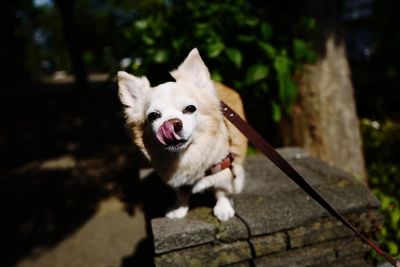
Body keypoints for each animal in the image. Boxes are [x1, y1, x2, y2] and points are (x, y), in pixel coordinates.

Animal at [117, 48, 245, 222]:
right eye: (153, 116)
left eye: (190, 108)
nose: (173, 123)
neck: (186, 156)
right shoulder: (175, 179)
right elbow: (181, 194)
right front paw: (180, 209)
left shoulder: (223, 166)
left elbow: (221, 191)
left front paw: (223, 208)